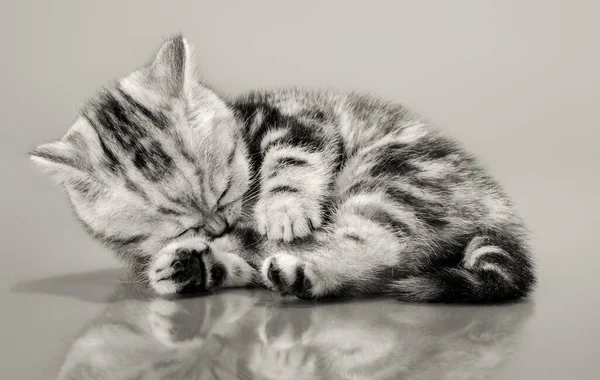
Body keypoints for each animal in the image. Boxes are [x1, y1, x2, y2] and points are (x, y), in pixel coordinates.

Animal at [29, 35, 536, 302]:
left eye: (224, 187)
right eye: (180, 223)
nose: (219, 225)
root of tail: (498, 211)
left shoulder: (299, 119)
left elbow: (291, 160)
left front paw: (283, 211)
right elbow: (238, 254)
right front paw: (185, 263)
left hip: (392, 176)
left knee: (380, 247)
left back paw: (303, 271)